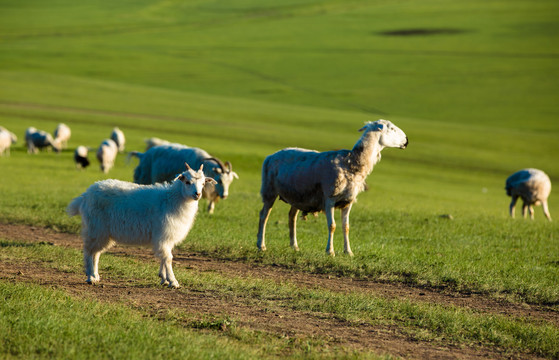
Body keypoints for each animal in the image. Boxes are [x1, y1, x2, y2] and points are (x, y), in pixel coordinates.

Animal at [67, 165, 217, 288]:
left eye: (203, 183)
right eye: (187, 182)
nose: (197, 194)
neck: (171, 199)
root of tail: (85, 196)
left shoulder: (165, 237)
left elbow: (163, 257)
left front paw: (164, 279)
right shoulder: (163, 234)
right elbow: (168, 258)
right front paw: (173, 281)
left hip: (103, 233)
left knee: (96, 253)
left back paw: (96, 275)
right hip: (96, 228)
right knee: (88, 251)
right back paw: (90, 277)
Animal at [258, 120, 406, 256]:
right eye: (392, 128)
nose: (406, 140)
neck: (351, 162)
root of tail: (271, 156)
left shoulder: (348, 201)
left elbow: (346, 227)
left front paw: (348, 252)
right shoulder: (329, 198)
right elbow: (332, 225)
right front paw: (330, 251)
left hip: (297, 195)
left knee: (291, 216)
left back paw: (294, 246)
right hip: (269, 190)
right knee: (264, 215)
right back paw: (261, 245)